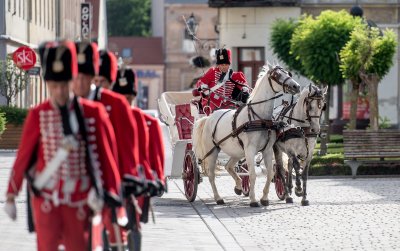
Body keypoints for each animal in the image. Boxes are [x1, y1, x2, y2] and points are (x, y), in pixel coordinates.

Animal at [193, 62, 300, 206]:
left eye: (288, 73)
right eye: (276, 75)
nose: (296, 86)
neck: (259, 118)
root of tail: (209, 117)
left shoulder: (267, 150)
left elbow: (270, 174)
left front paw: (264, 198)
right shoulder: (250, 150)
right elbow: (253, 174)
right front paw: (253, 200)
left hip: (236, 152)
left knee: (229, 166)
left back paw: (238, 186)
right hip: (213, 151)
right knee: (211, 175)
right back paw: (218, 198)